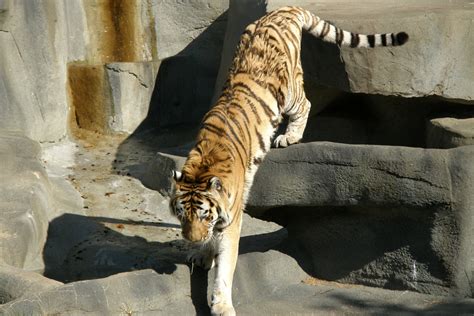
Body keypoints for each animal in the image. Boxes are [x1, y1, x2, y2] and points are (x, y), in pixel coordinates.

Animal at [168, 6, 408, 314]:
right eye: (182, 214)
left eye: (203, 214)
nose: (191, 238)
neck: (203, 166)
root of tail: (281, 11)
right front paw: (201, 253)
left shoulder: (230, 219)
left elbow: (225, 267)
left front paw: (222, 305)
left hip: (289, 92)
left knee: (306, 103)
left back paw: (289, 136)